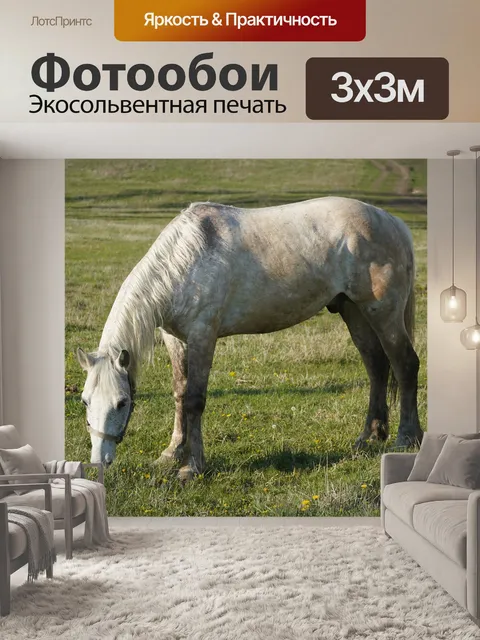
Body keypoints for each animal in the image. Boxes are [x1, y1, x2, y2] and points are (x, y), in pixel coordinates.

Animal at [77, 196, 423, 480]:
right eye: (85, 400)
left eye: (122, 403)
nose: (99, 462)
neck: (185, 260)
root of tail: (392, 221)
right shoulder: (175, 339)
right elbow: (179, 394)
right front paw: (171, 454)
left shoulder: (203, 336)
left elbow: (195, 400)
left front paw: (192, 467)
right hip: (354, 311)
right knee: (376, 367)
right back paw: (369, 436)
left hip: (383, 313)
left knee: (405, 364)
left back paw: (406, 437)